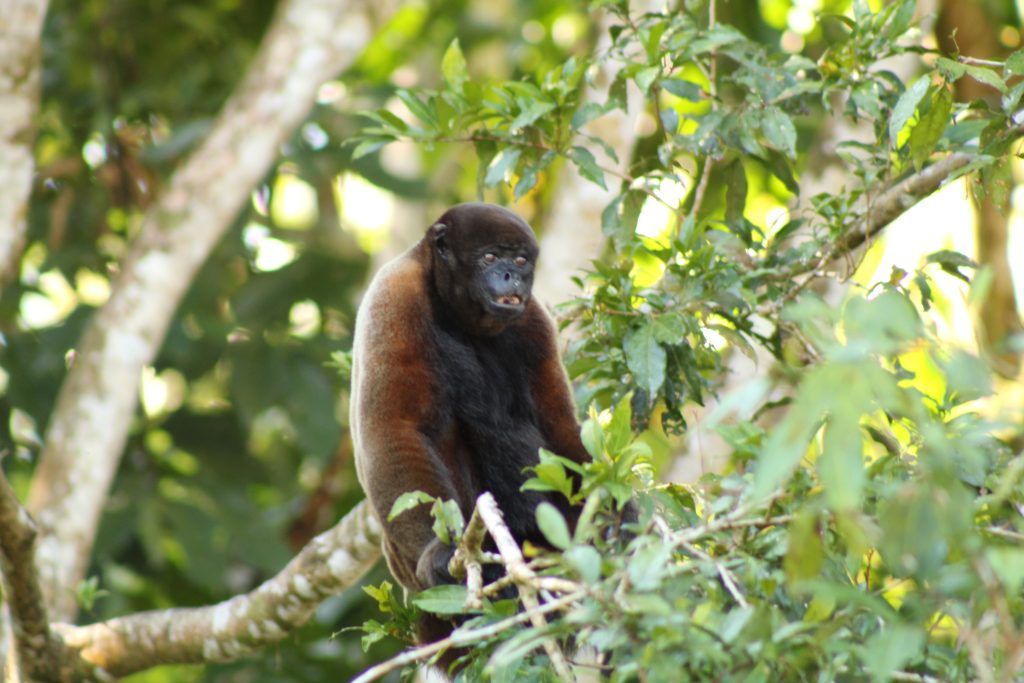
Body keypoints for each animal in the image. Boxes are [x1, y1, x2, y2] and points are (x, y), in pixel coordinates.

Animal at [350, 202, 591, 645]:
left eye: (520, 260)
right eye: (490, 258)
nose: (511, 275)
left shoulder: (534, 320)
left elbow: (559, 429)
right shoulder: (394, 296)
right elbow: (398, 431)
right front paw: (437, 552)